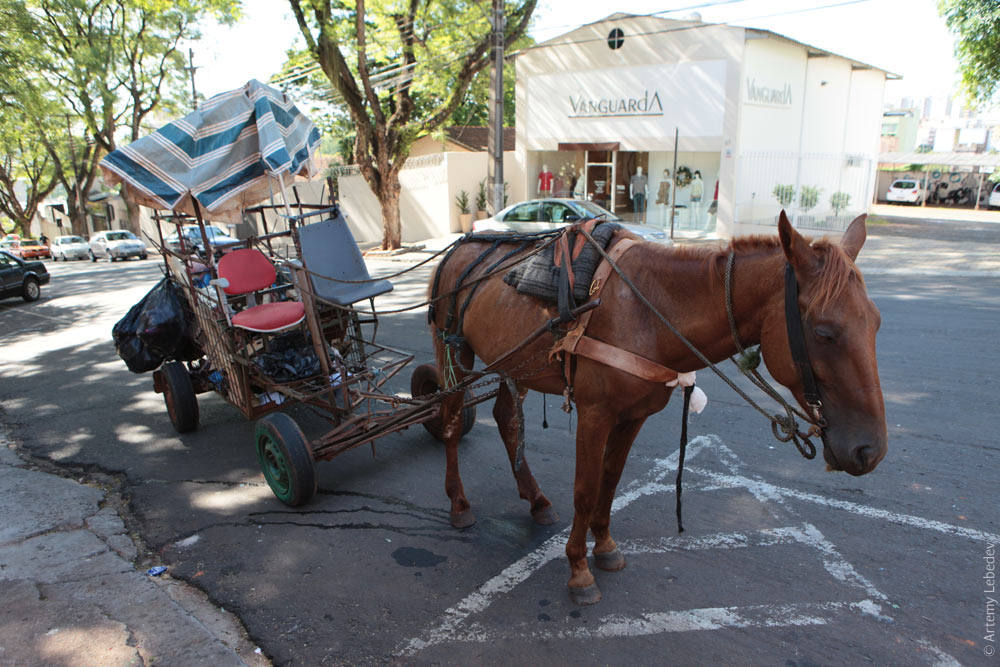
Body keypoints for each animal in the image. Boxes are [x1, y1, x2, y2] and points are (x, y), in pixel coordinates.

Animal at [426, 214, 888, 604]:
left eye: (877, 323)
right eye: (825, 333)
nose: (871, 451)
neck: (650, 310)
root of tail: (460, 245)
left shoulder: (634, 416)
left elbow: (610, 481)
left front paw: (604, 545)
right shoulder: (595, 414)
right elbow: (585, 489)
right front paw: (578, 568)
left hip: (514, 364)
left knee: (507, 420)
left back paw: (536, 499)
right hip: (453, 353)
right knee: (450, 419)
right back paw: (458, 503)